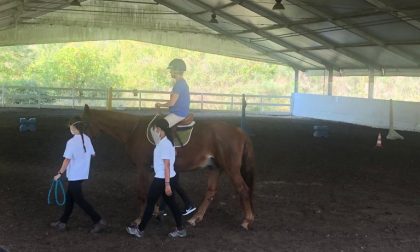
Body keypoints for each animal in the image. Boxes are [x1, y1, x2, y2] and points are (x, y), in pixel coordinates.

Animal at [80, 105, 254, 230]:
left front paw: (138, 220)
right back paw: (194, 218)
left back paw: (247, 220)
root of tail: (239, 131)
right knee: (210, 193)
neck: (133, 130)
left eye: (83, 124)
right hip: (214, 168)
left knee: (243, 189)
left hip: (231, 169)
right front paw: (156, 212)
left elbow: (142, 194)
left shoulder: (142, 168)